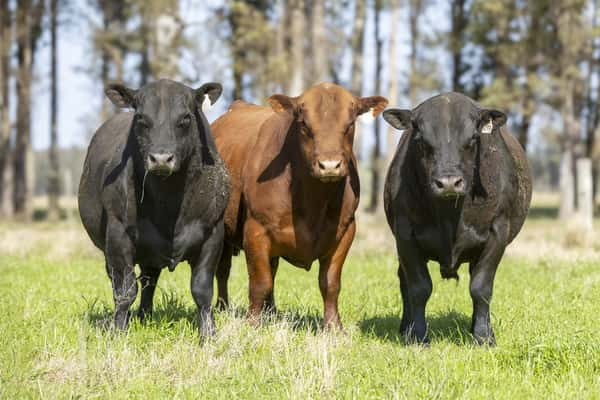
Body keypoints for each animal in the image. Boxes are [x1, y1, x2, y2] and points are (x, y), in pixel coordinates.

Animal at [213, 82, 386, 328]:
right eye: (304, 124)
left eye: (350, 123)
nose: (330, 165)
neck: (313, 201)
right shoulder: (256, 231)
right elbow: (259, 283)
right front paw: (252, 324)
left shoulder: (345, 232)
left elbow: (330, 283)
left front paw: (333, 327)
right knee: (223, 269)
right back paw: (222, 307)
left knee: (272, 269)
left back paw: (271, 312)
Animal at [384, 92, 528, 346]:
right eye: (420, 138)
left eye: (473, 138)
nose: (449, 182)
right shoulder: (405, 234)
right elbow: (418, 287)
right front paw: (418, 335)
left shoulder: (498, 231)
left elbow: (481, 287)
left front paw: (483, 337)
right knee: (403, 281)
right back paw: (405, 327)